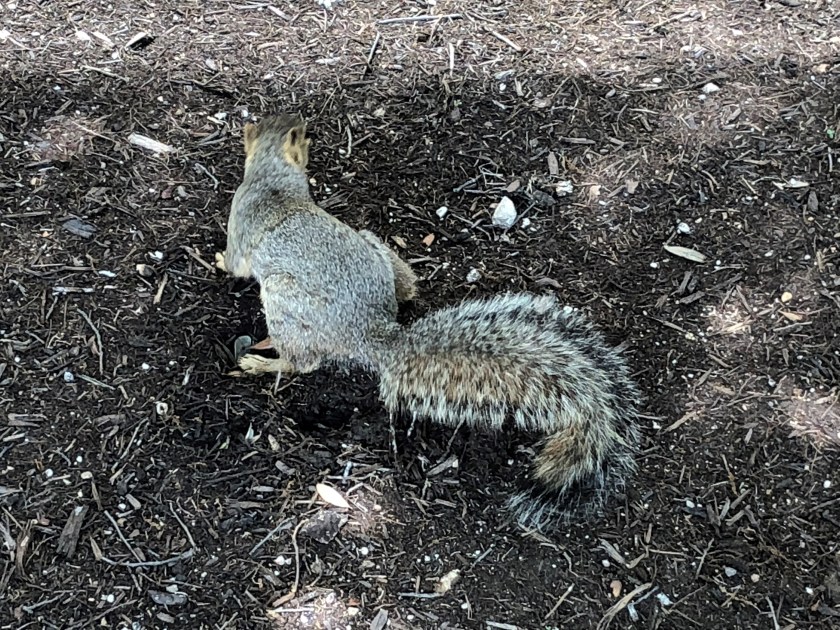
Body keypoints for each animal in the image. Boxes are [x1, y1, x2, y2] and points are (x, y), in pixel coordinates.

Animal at [216, 113, 642, 531]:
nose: (306, 129)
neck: (273, 179)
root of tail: (374, 333)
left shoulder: (241, 217)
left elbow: (237, 263)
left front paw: (219, 261)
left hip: (281, 300)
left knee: (303, 362)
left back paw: (261, 361)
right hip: (372, 246)